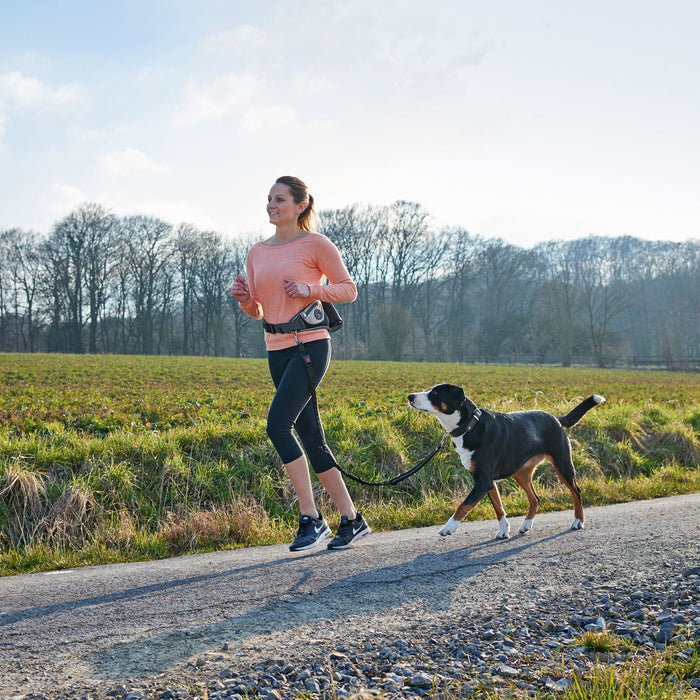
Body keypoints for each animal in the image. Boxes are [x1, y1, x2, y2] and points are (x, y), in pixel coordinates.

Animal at [408, 386, 604, 540]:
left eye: (435, 393)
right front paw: (504, 530)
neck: (470, 426)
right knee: (535, 498)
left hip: (563, 465)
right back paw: (526, 525)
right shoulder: (487, 482)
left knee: (576, 492)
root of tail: (555, 418)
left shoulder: (483, 482)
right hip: (521, 474)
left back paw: (578, 521)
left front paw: (449, 526)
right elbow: (498, 508)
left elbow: (463, 505)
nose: (410, 396)